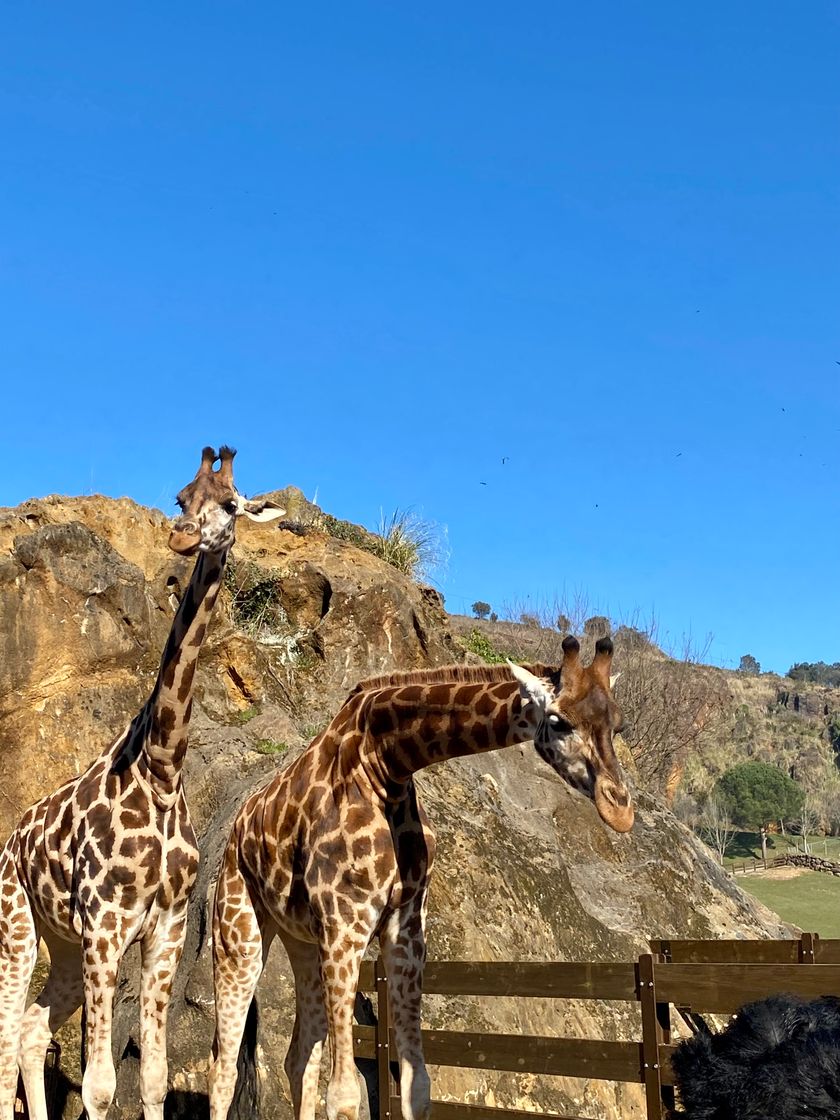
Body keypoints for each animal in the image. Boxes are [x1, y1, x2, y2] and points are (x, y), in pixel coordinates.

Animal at [0, 445, 286, 1120]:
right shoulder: (106, 924)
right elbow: (102, 1085)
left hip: (64, 946)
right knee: (6, 1032)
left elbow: (152, 1078)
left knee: (29, 1030)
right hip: (18, 927)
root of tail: (12, 839)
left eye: (229, 503)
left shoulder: (165, 929)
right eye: (181, 496)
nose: (182, 535)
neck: (160, 768)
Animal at [209, 636, 631, 1120]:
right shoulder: (346, 924)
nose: (620, 810)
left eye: (618, 725)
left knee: (298, 1058)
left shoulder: (405, 928)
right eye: (559, 721)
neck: (385, 764)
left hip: (302, 940)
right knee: (222, 1068)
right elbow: (346, 1094)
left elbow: (417, 1084)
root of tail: (235, 827)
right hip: (238, 933)